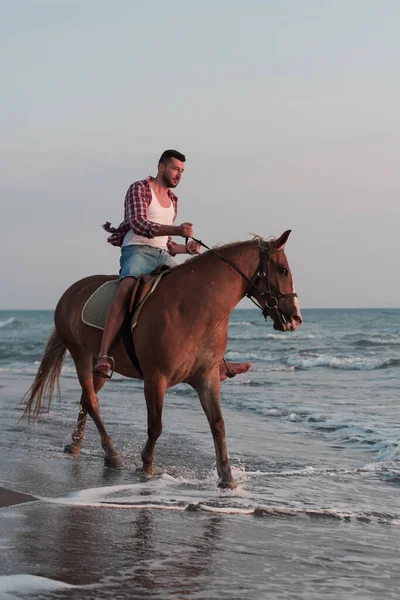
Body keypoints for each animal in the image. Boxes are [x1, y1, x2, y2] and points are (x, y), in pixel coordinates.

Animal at [23, 230, 302, 488]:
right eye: (283, 270)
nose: (296, 318)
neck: (195, 308)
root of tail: (70, 292)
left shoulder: (208, 379)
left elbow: (218, 425)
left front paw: (227, 478)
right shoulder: (156, 379)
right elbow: (155, 425)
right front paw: (146, 465)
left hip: (98, 366)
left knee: (86, 399)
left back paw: (76, 445)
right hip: (81, 355)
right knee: (91, 401)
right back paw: (112, 454)